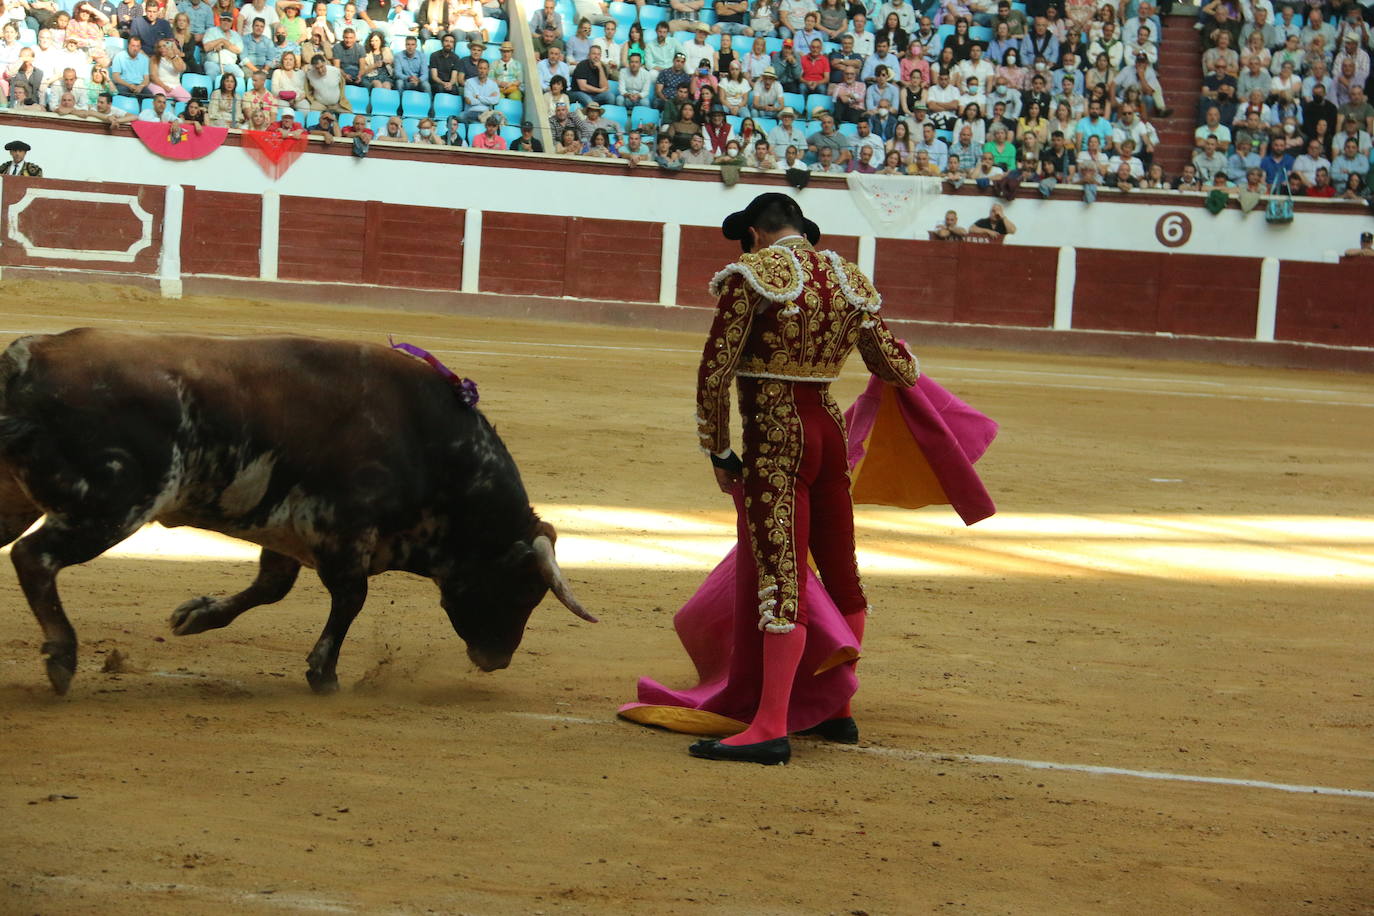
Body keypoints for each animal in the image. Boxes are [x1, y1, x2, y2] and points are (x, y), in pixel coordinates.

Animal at [0, 329, 596, 694]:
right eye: (523, 589)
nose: (498, 658)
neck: (434, 448)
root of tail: (27, 362)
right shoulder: (343, 532)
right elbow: (350, 600)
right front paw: (324, 673)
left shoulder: (289, 532)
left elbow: (271, 586)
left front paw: (195, 615)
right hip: (113, 504)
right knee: (34, 557)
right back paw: (62, 657)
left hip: (24, 498)